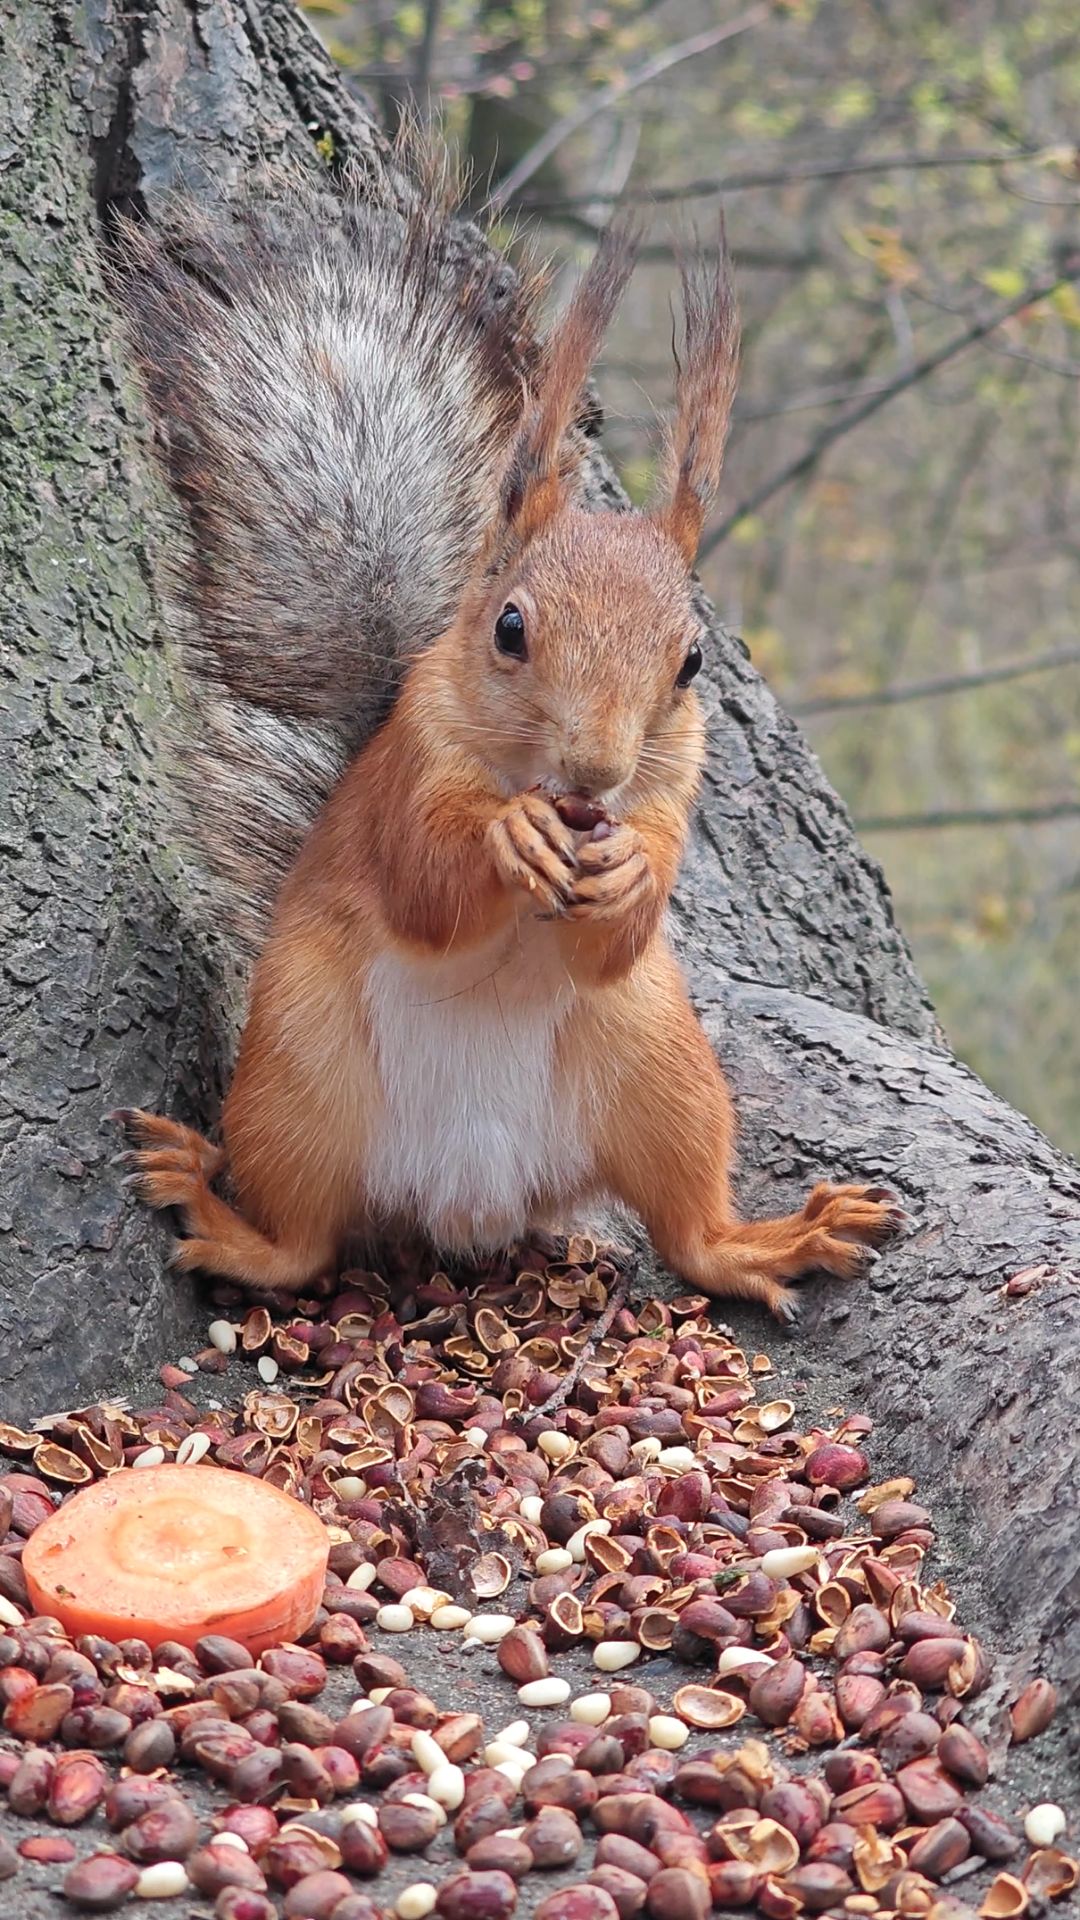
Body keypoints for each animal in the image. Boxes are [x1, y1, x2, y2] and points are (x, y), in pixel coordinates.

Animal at [113, 153, 902, 1321]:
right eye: (511, 628)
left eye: (691, 663)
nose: (594, 772)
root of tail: (469, 1200)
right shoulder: (408, 774)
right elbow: (424, 884)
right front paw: (508, 839)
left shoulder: (675, 786)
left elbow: (626, 921)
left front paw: (629, 870)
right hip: (299, 1077)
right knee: (299, 1241)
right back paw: (217, 1212)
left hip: (663, 1074)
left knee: (688, 1228)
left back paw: (769, 1240)